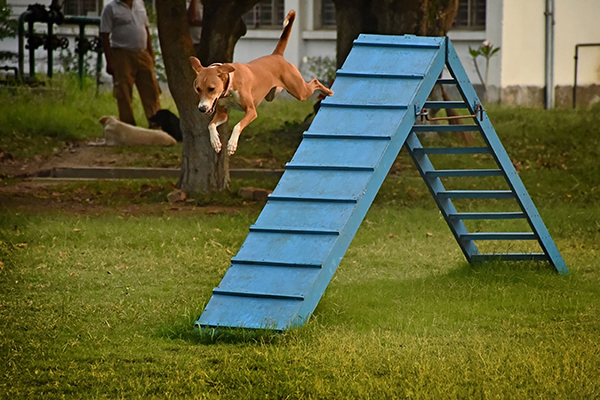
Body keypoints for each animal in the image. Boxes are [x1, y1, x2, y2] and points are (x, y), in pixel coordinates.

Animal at [190, 9, 332, 156]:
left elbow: (237, 126)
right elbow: (210, 125)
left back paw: (328, 91)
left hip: (300, 91)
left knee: (314, 82)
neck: (230, 85)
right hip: (272, 94)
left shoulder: (251, 111)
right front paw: (215, 142)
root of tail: (277, 56)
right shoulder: (222, 113)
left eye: (211, 88)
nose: (202, 108)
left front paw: (231, 145)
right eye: (198, 89)